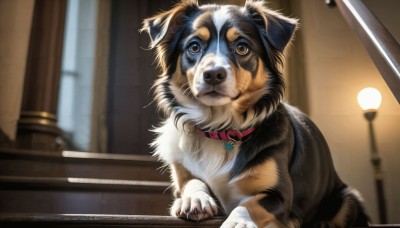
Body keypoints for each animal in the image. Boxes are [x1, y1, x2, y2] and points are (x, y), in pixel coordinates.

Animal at [141, 0, 368, 227]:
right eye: (194, 47)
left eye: (242, 47)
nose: (213, 74)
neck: (219, 127)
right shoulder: (181, 170)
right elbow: (191, 181)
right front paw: (195, 199)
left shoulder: (280, 195)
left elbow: (249, 204)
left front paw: (237, 222)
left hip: (348, 198)